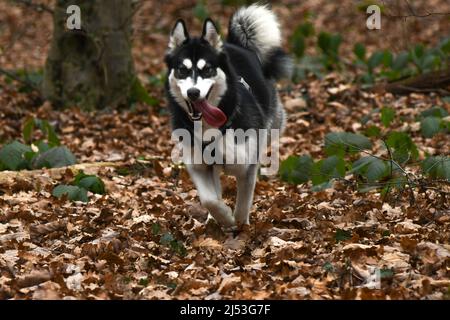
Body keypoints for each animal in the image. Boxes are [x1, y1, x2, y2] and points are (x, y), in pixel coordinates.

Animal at [165, 3, 292, 229]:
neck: (207, 128)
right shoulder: (197, 165)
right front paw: (223, 216)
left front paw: (240, 225)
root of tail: (235, 44)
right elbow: (209, 199)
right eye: (182, 70)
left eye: (207, 69)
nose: (193, 93)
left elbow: (242, 200)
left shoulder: (245, 164)